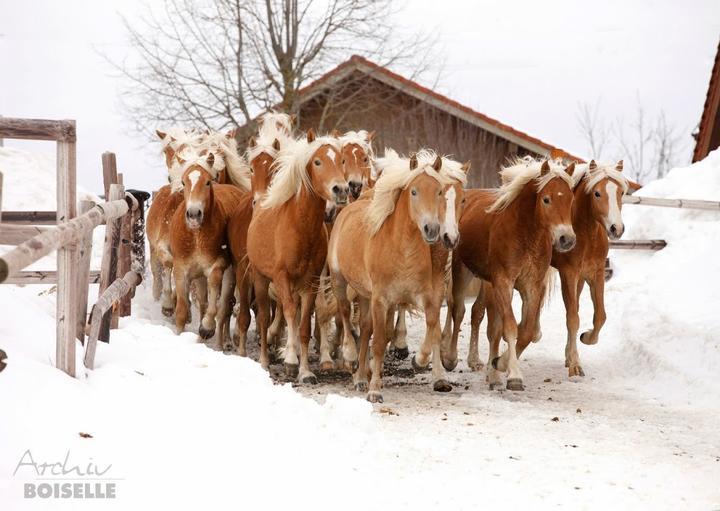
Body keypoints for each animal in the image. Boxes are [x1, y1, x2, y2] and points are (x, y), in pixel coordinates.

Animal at [246, 130, 350, 382]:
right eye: (318, 161)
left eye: (342, 160)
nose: (341, 190)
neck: (300, 227)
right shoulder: (281, 277)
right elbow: (290, 312)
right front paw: (291, 361)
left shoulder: (310, 283)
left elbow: (303, 326)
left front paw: (305, 371)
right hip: (260, 279)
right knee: (264, 318)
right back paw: (264, 361)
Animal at [330, 150, 470, 402]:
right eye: (414, 191)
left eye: (461, 198)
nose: (438, 232)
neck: (402, 250)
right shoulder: (382, 300)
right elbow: (379, 342)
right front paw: (375, 389)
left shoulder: (429, 296)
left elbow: (432, 329)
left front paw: (432, 371)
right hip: (340, 281)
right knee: (345, 312)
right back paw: (350, 357)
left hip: (365, 294)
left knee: (365, 329)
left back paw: (360, 378)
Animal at [442, 160, 576, 392]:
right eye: (546, 199)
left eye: (570, 199)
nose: (566, 239)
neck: (525, 234)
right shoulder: (504, 283)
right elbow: (511, 327)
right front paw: (513, 376)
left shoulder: (532, 287)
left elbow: (526, 330)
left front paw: (500, 364)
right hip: (463, 271)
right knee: (457, 310)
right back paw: (450, 359)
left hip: (487, 283)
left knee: (485, 320)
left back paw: (491, 372)